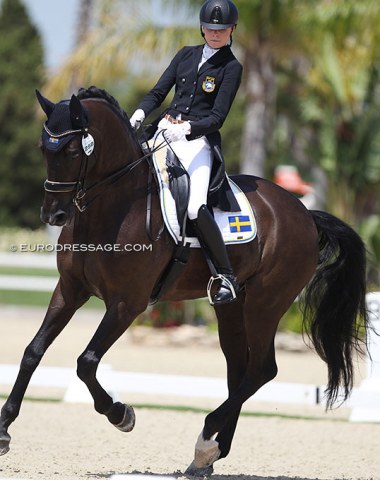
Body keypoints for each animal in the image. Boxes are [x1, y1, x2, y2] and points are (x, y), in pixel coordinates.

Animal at [0, 87, 368, 476]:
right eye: (43, 148)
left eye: (72, 151)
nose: (53, 215)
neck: (114, 207)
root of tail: (304, 214)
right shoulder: (70, 290)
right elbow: (33, 351)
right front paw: (4, 431)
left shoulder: (127, 303)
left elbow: (86, 362)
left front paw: (122, 415)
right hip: (232, 307)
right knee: (240, 369)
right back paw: (209, 455)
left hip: (265, 304)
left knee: (261, 369)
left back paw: (206, 439)